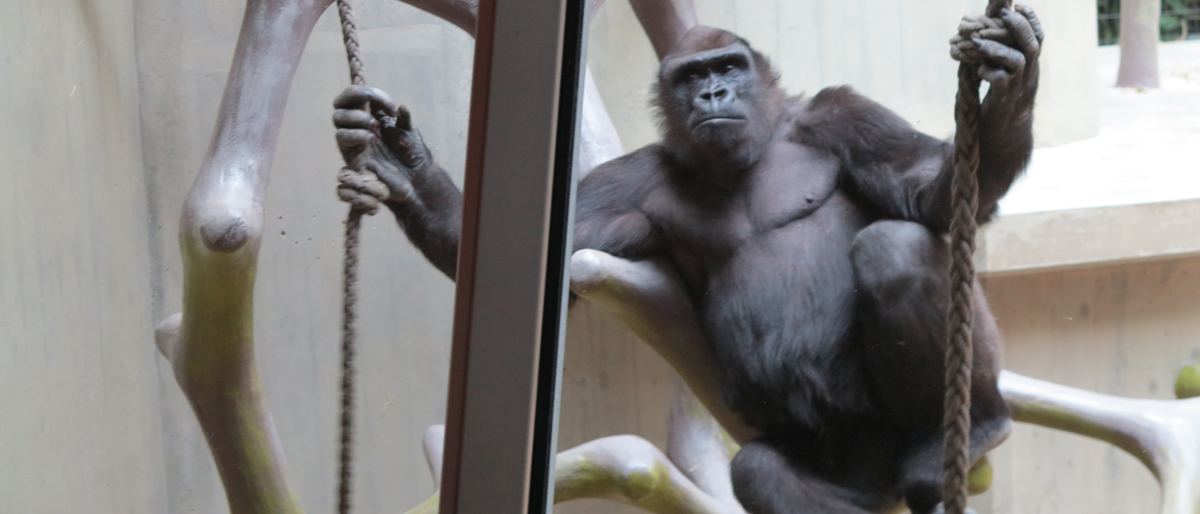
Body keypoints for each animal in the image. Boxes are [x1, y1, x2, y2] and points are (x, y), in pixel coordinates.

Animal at [332, 6, 1042, 513]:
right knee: (761, 472)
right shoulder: (632, 180)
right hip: (849, 470)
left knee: (895, 249)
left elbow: (929, 194)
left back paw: (976, 425)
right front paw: (409, 167)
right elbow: (544, 266)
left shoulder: (844, 115)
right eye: (692, 77)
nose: (715, 94)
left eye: (729, 66)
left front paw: (1011, 86)